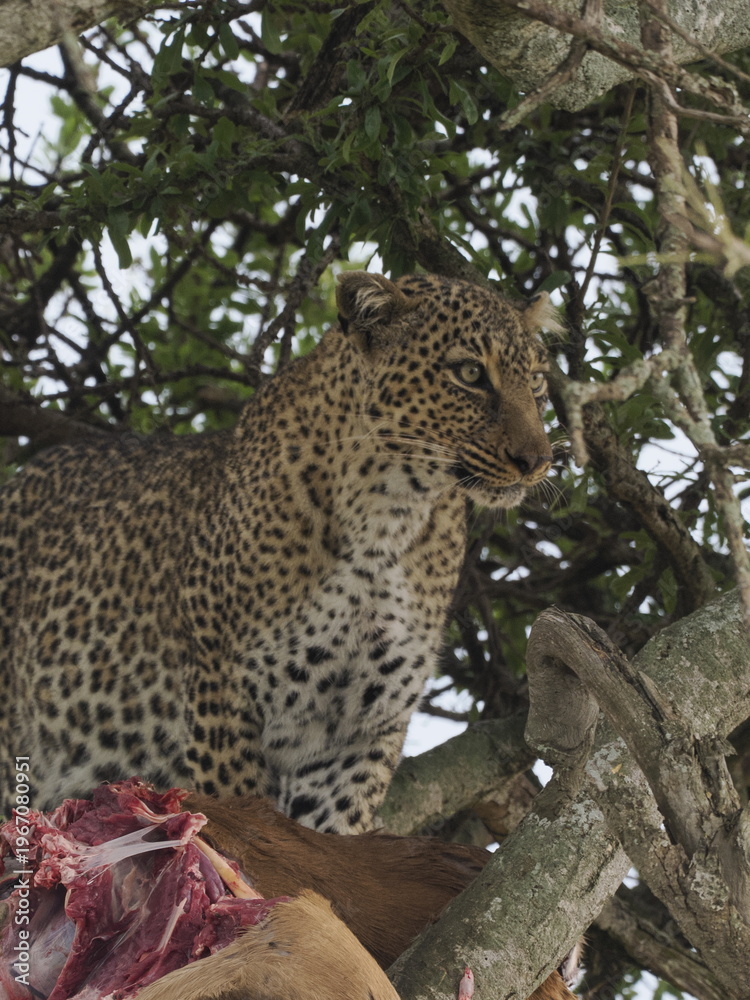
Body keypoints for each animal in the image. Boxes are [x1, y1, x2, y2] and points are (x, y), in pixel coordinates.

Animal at [0, 271, 560, 833]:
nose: (536, 460)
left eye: (536, 381)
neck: (390, 517)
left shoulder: (361, 733)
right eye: (470, 373)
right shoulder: (224, 698)